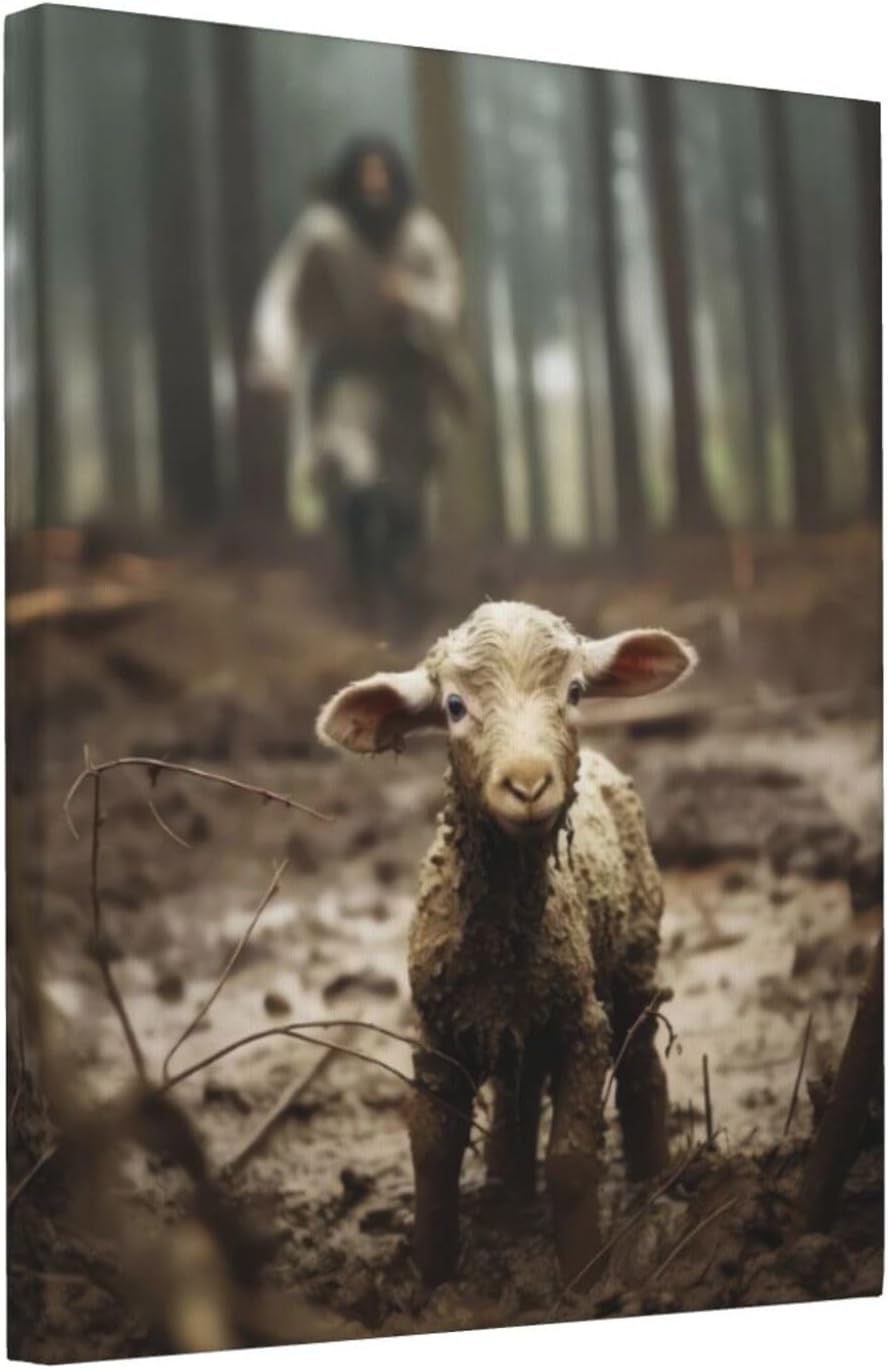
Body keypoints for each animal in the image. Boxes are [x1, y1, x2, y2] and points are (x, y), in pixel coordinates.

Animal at [316, 600, 697, 1288]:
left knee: (640, 1063)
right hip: (514, 1024)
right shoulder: (437, 1029)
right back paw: (505, 1193)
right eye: (454, 706)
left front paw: (583, 1276)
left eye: (575, 692)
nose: (527, 784)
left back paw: (654, 1177)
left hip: (633, 958)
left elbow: (571, 1161)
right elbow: (433, 1151)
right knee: (514, 1098)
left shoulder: (581, 1023)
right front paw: (430, 1271)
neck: (501, 938)